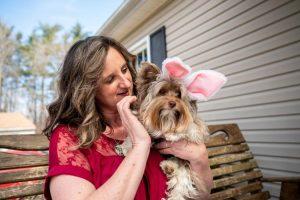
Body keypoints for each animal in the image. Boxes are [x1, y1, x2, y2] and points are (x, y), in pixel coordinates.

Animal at [119, 57, 227, 200]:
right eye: (162, 92)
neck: (167, 118)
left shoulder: (197, 127)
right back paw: (168, 167)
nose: (172, 103)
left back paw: (170, 167)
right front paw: (126, 147)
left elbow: (190, 127)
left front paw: (173, 134)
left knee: (182, 178)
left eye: (178, 94)